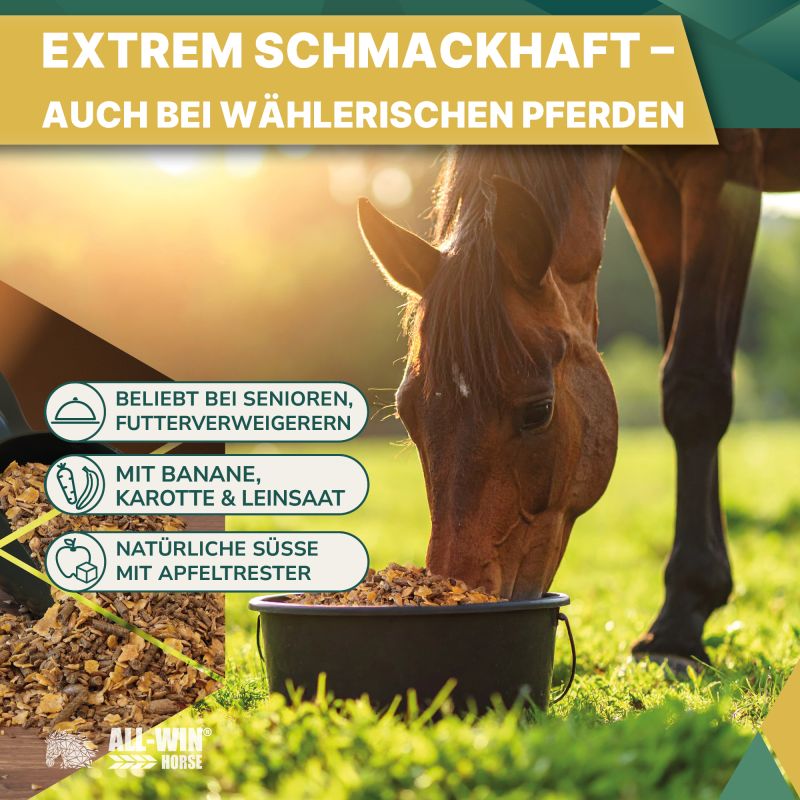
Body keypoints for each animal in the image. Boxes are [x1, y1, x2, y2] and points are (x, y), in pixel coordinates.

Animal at [358, 131, 800, 670]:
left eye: (538, 411)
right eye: (408, 413)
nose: (462, 589)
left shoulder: (725, 169)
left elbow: (696, 386)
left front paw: (678, 622)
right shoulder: (650, 185)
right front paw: (697, 600)